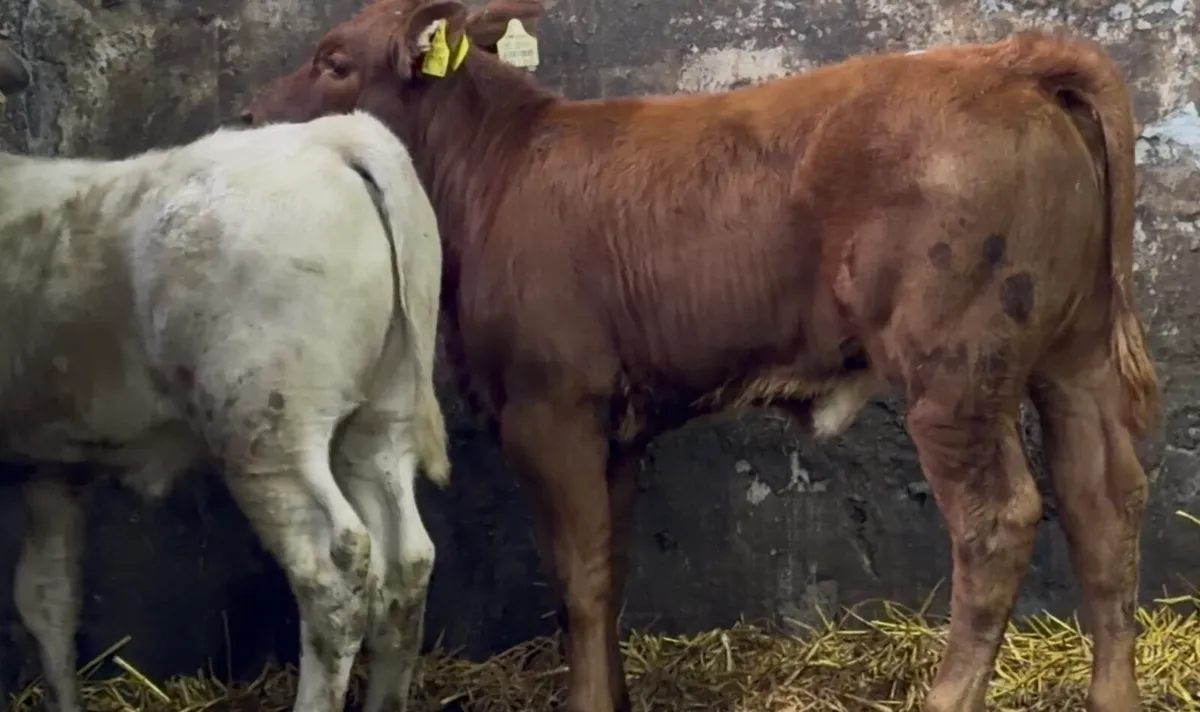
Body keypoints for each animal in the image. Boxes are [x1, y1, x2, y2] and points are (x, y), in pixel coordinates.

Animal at [1, 110, 448, 712]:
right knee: (406, 561)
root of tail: (329, 135)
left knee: (331, 578)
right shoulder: (53, 462)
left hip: (266, 432)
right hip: (382, 418)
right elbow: (48, 596)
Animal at [243, 3, 1161, 711]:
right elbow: (607, 571)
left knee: (999, 521)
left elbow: (577, 579)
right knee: (1103, 505)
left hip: (955, 370)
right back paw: (1114, 697)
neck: (496, 175)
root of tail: (1007, 61)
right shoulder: (612, 425)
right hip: (1073, 356)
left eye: (334, 59)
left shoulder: (549, 405)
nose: (249, 120)